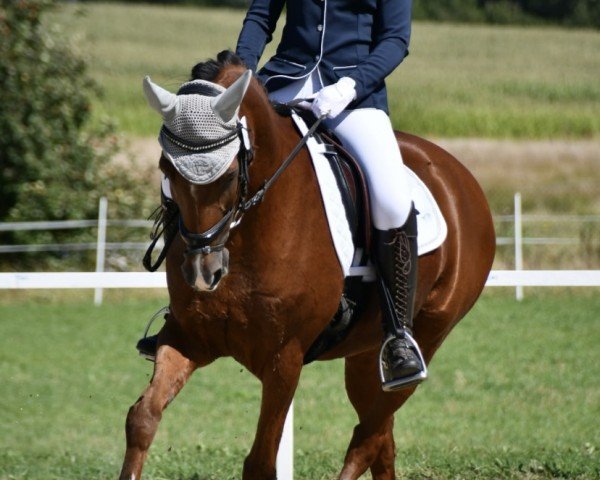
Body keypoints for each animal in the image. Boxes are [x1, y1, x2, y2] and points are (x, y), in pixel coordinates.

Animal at [119, 50, 494, 478]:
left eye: (229, 176)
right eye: (165, 169)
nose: (202, 272)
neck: (246, 235)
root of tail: (459, 176)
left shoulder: (285, 359)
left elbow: (260, 460)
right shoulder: (187, 337)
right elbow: (142, 418)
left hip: (428, 338)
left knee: (367, 439)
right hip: (365, 355)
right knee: (380, 438)